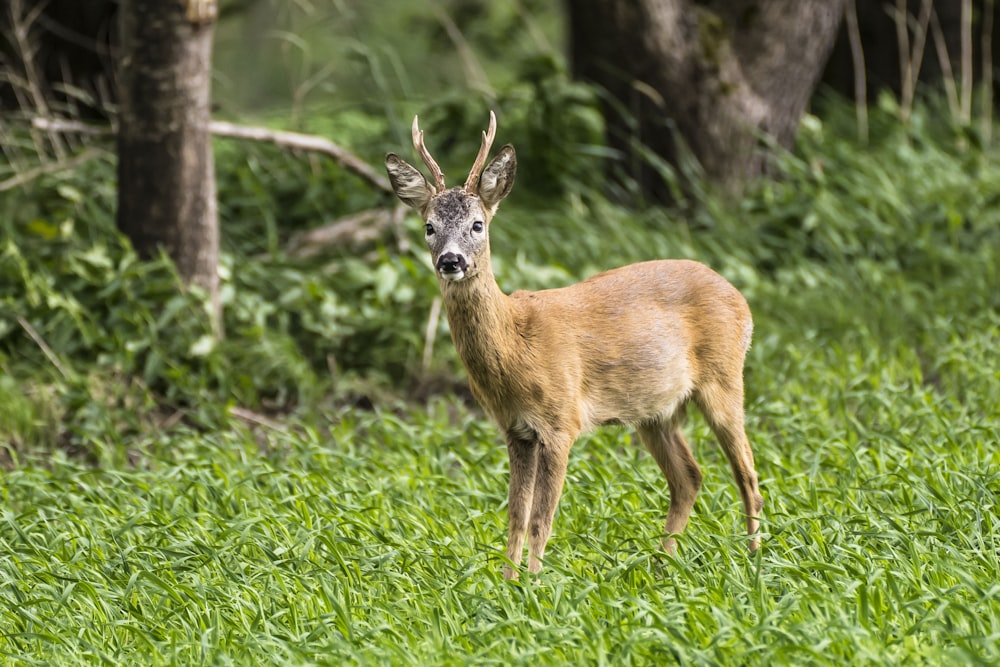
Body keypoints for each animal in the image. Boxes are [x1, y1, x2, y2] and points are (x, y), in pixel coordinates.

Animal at [386, 111, 760, 580]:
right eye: (429, 227)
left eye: (478, 224)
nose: (450, 260)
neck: (515, 345)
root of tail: (740, 299)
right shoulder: (515, 429)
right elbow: (516, 514)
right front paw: (507, 583)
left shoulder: (561, 420)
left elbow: (541, 518)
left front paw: (533, 584)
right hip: (655, 412)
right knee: (689, 477)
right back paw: (662, 567)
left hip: (723, 377)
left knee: (746, 473)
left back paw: (754, 559)